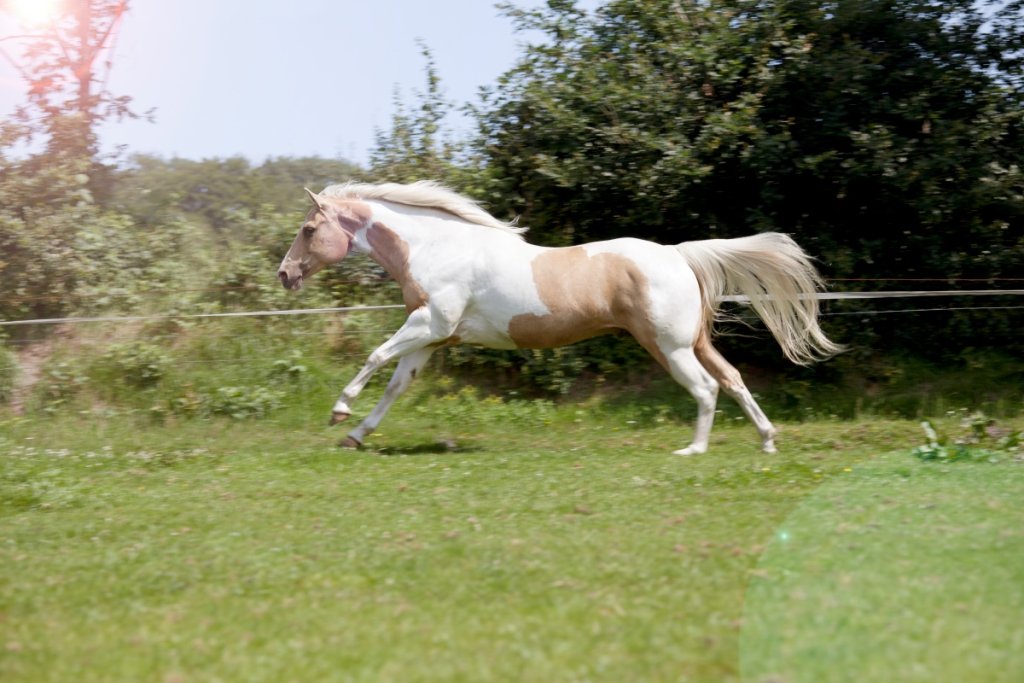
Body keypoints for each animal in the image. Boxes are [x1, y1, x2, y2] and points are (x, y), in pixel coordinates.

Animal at [277, 181, 841, 455]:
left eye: (308, 229)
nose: (285, 274)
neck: (437, 248)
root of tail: (678, 255)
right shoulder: (432, 339)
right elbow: (396, 385)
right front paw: (355, 437)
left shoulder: (429, 325)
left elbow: (374, 357)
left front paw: (340, 413)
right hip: (694, 342)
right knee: (733, 379)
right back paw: (767, 441)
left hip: (669, 346)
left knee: (705, 388)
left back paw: (694, 451)